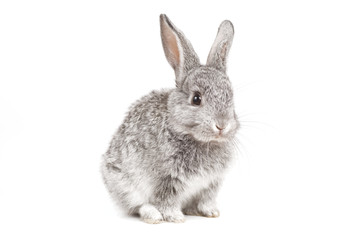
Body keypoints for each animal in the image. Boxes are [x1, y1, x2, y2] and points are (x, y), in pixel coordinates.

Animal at [101, 14, 239, 224]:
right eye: (196, 99)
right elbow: (166, 200)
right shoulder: (167, 179)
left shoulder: (211, 183)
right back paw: (153, 216)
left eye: (231, 97)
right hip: (124, 183)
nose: (222, 125)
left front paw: (211, 212)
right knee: (137, 205)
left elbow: (206, 199)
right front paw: (175, 217)